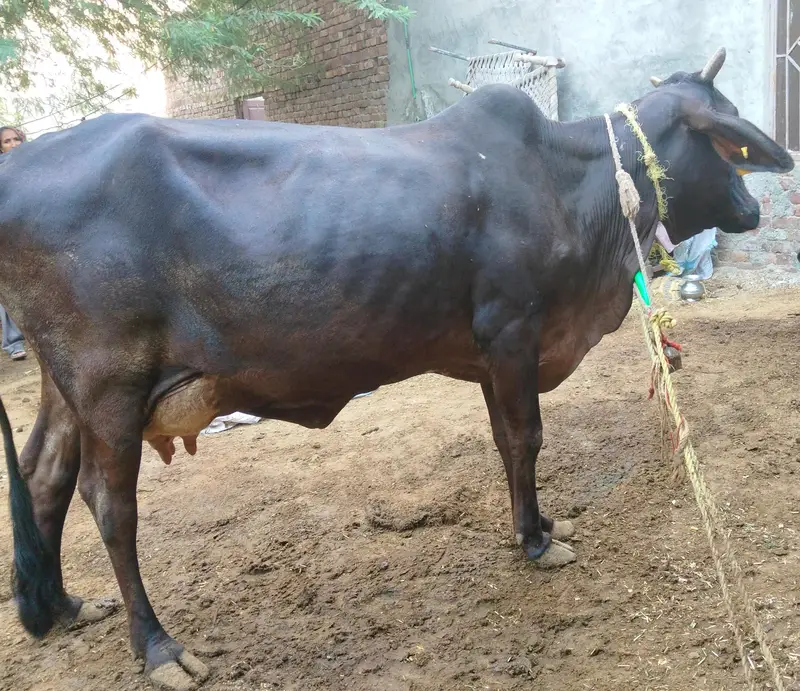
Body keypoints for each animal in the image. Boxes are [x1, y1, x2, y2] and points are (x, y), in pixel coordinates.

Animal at [0, 47, 793, 690]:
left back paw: (63, 607)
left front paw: (532, 525)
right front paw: (537, 542)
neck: (572, 183)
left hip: (66, 388)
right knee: (110, 505)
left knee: (44, 475)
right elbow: (528, 439)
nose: (757, 207)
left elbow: (506, 443)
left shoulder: (489, 355)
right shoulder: (513, 333)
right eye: (728, 137)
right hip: (109, 383)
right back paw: (159, 647)